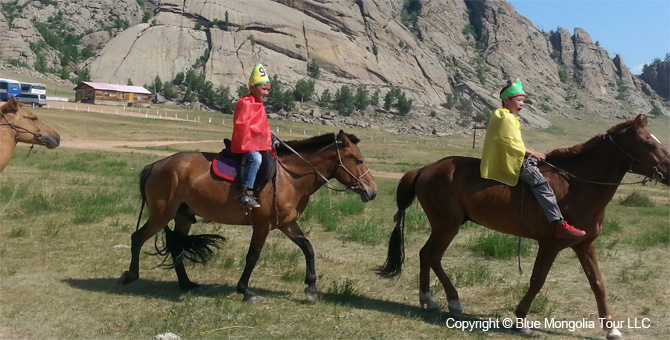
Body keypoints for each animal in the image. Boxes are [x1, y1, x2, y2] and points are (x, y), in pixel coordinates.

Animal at [119, 129, 378, 300]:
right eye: (358, 160)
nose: (372, 191)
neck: (289, 177)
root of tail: (155, 165)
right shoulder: (262, 225)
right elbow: (252, 257)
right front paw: (244, 290)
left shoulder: (287, 224)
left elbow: (308, 248)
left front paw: (311, 288)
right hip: (162, 214)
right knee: (137, 237)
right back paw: (131, 275)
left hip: (182, 217)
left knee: (176, 246)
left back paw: (186, 283)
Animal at [380, 115, 668, 338]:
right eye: (649, 143)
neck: (577, 186)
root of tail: (425, 169)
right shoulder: (550, 244)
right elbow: (537, 280)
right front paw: (520, 320)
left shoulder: (585, 245)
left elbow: (598, 283)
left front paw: (611, 329)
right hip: (447, 225)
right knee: (431, 255)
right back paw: (443, 300)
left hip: (446, 225)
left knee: (428, 255)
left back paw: (434, 300)